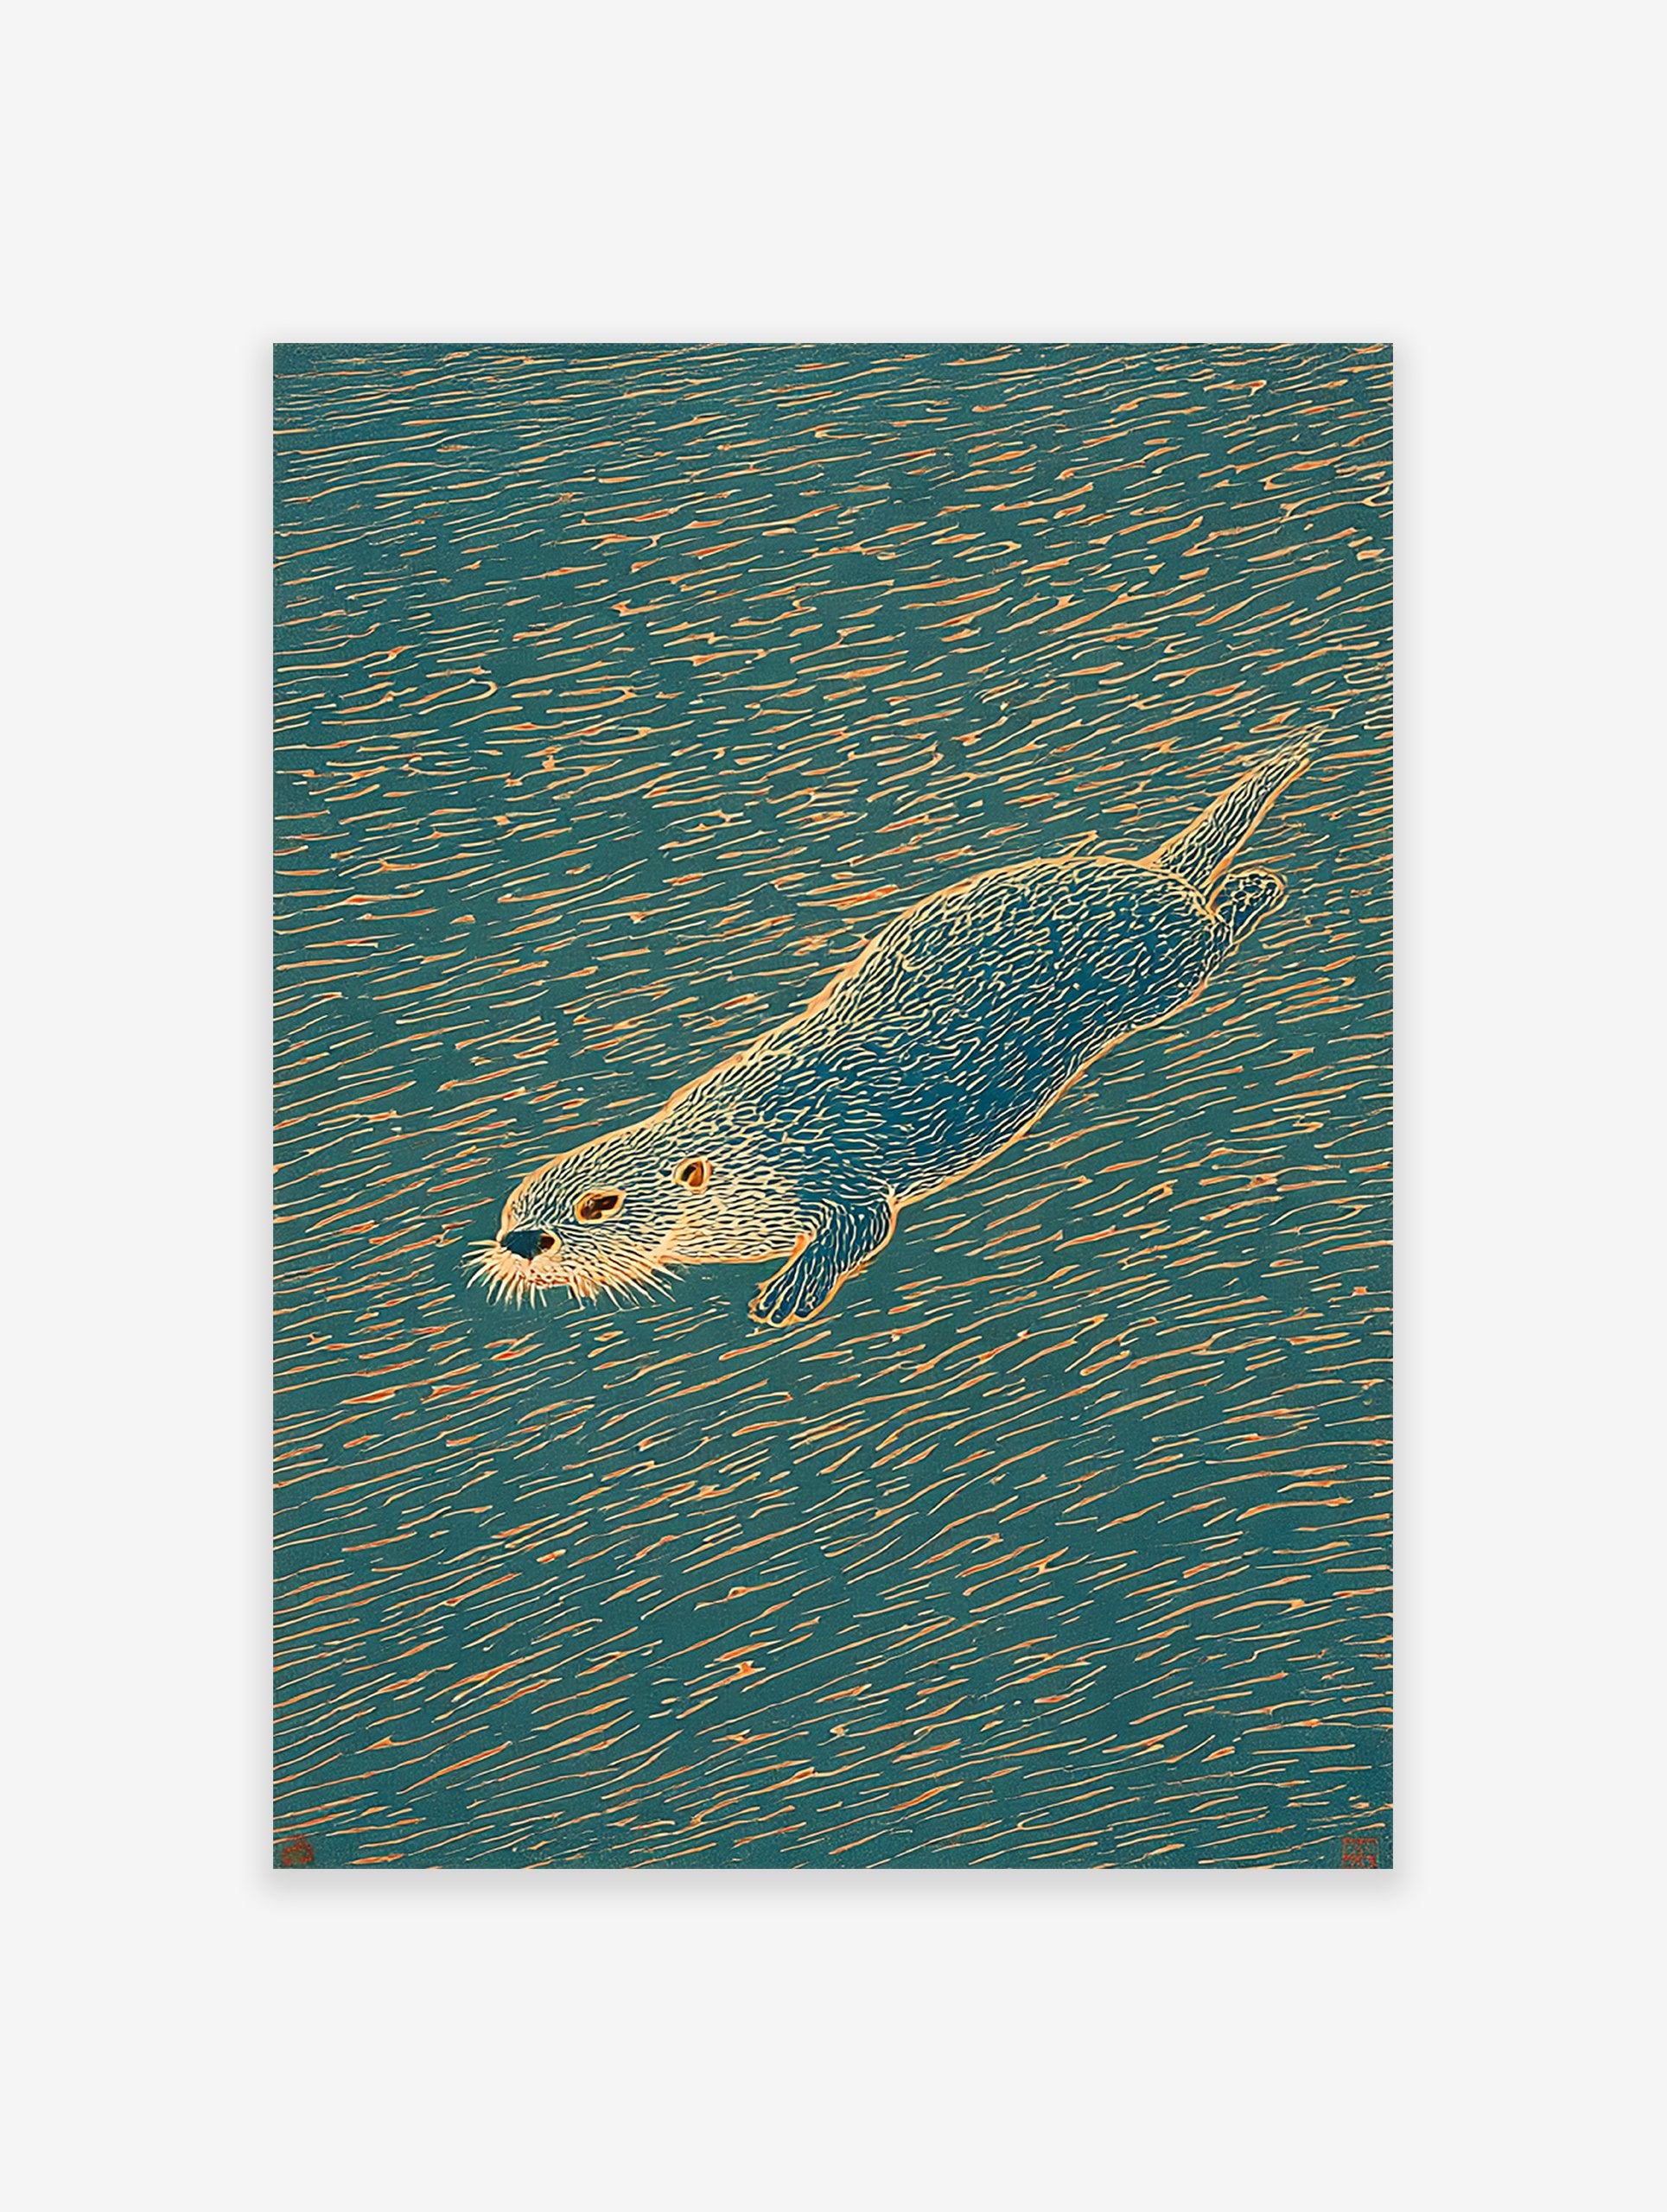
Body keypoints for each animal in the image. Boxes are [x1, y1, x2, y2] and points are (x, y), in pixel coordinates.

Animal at [472, 747, 1307, 1325]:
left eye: (597, 1207)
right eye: (514, 1210)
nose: (521, 1244)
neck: (750, 1153)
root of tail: (1151, 875)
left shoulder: (837, 1173)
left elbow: (863, 1229)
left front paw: (787, 1294)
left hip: (1166, 966)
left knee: (1216, 928)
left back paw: (1258, 888)